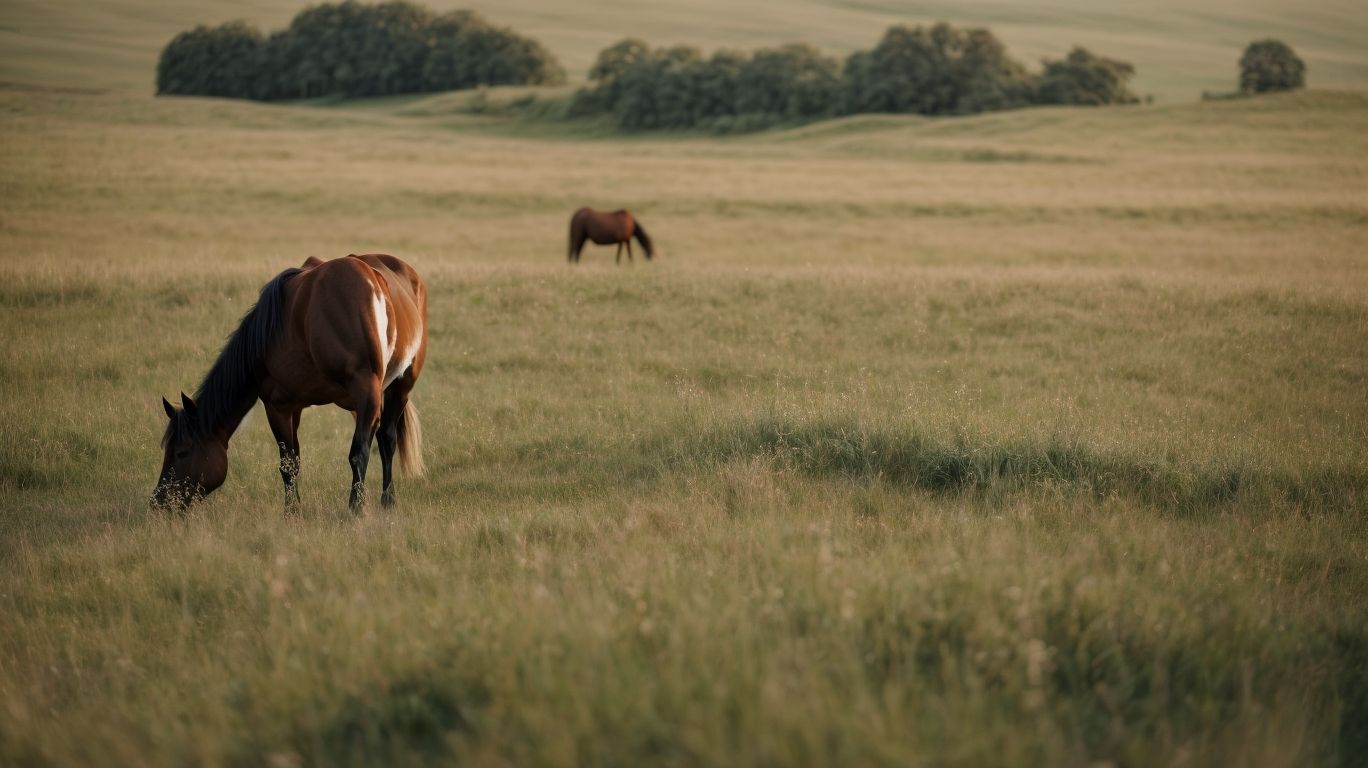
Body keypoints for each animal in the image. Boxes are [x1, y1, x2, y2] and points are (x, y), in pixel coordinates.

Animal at [153, 254, 427, 512]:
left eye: (182, 452)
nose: (159, 500)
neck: (268, 336)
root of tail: (374, 278)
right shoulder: (295, 406)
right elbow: (295, 461)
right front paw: (295, 508)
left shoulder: (277, 406)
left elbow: (287, 464)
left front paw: (291, 512)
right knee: (380, 441)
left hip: (394, 388)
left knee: (376, 446)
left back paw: (363, 506)